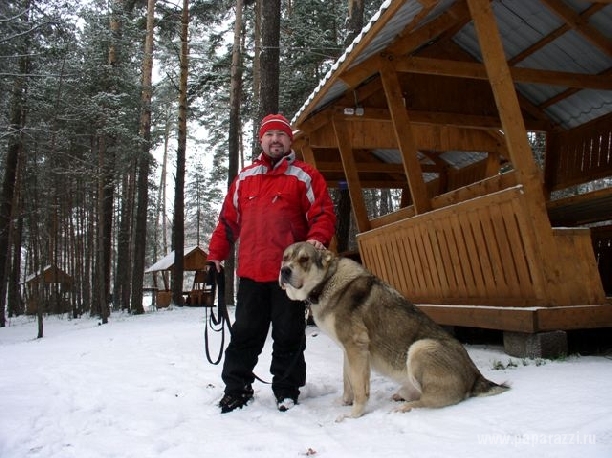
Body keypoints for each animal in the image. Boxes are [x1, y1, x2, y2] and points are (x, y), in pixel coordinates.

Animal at [280, 242, 510, 420]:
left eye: (304, 259)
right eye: (285, 258)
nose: (284, 271)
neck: (327, 282)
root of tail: (476, 375)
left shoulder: (356, 347)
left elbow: (359, 388)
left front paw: (353, 415)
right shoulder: (348, 350)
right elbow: (348, 382)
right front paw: (344, 402)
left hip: (420, 348)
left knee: (434, 400)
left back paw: (404, 407)